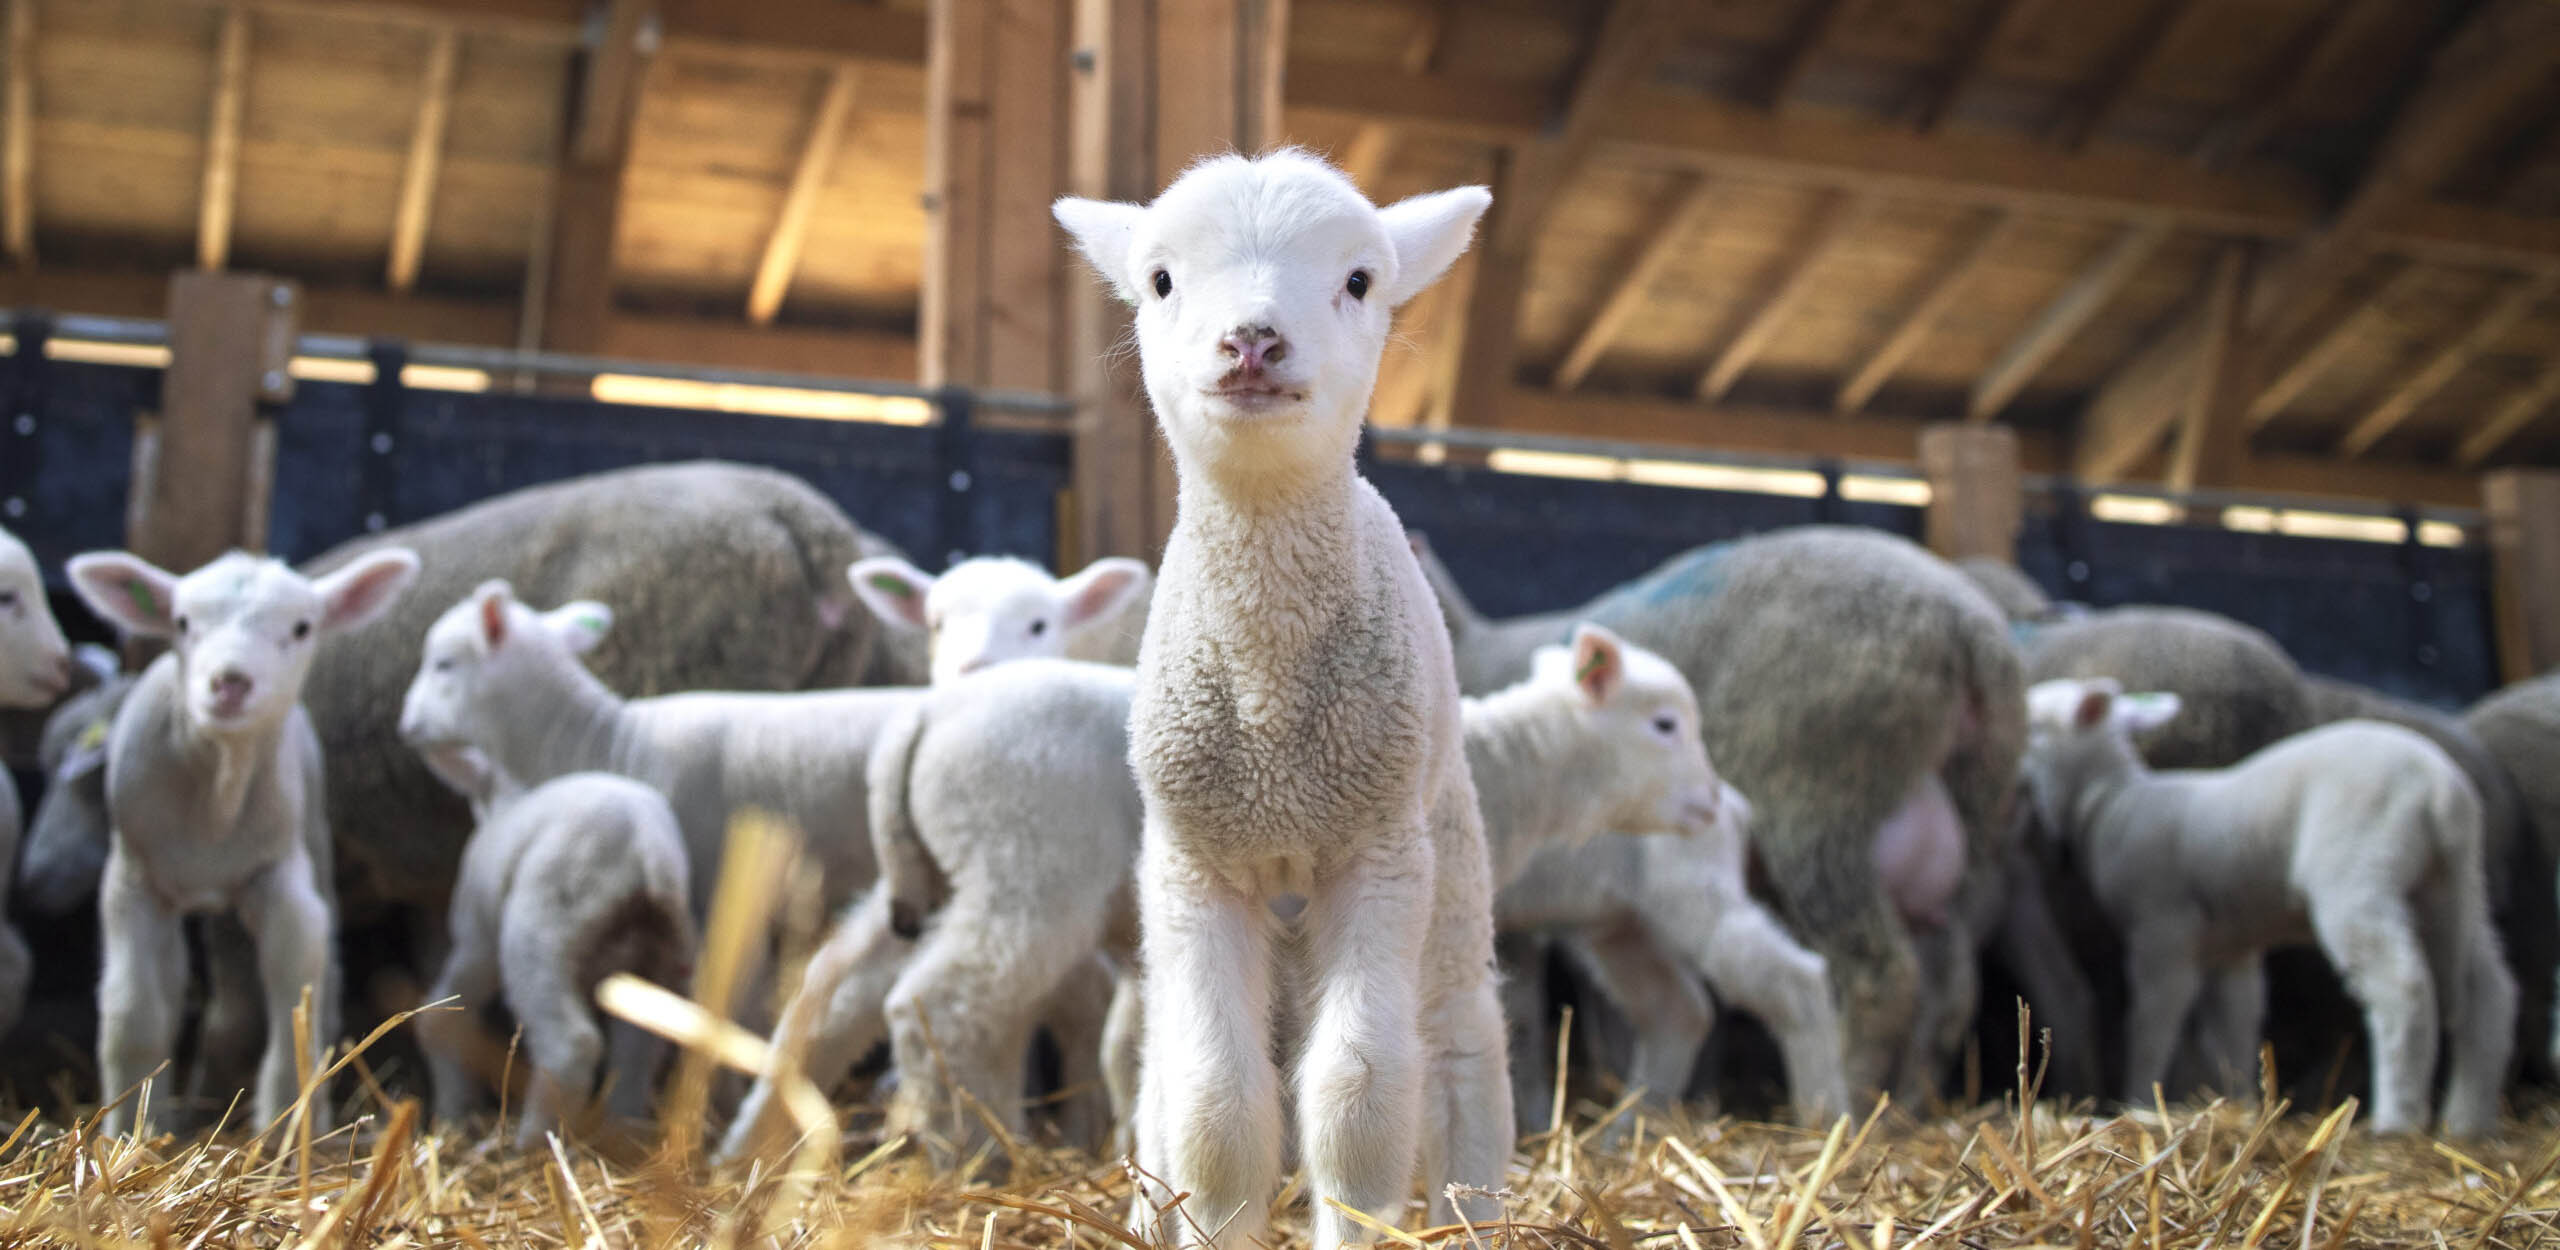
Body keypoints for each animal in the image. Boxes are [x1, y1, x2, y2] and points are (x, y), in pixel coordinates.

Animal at [66, 547, 420, 1137]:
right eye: (182, 623)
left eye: (302, 628)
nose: (230, 682)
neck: (217, 792)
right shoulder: (132, 881)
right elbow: (133, 1010)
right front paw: (133, 1130)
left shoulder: (281, 878)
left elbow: (295, 987)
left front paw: (287, 1123)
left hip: (313, 832)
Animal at [400, 731, 693, 1150]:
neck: (505, 799)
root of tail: (646, 848)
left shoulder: (476, 935)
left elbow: (442, 1016)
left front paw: (453, 1108)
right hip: (657, 957)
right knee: (638, 1049)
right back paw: (622, 1132)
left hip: (539, 930)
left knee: (571, 1045)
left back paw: (531, 1142)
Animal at [1054, 150, 1503, 1246]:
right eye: (1160, 280)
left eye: (1359, 280)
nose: (1252, 340)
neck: (1270, 717)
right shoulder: (1195, 866)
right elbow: (1216, 1105)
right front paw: (1208, 1219)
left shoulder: (1377, 852)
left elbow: (1359, 1095)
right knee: (1163, 1074)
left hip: (1446, 847)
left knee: (1458, 1042)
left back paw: (1479, 1211)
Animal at [1410, 526, 2031, 1104]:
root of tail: (1967, 627)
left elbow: (1524, 1012)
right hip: (1970, 826)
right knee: (1949, 991)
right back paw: (1909, 1104)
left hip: (1822, 810)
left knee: (1879, 978)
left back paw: (1849, 1101)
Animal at [2019, 677, 2514, 1136]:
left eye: (2034, 723)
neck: (2109, 801)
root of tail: (2440, 788)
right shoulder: (2228, 948)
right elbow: (2234, 1023)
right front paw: (2241, 1099)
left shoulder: (2162, 928)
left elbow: (2152, 1022)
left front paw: (2137, 1098)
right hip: (2452, 887)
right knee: (2488, 990)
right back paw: (2468, 1119)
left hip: (2358, 874)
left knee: (2403, 986)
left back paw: (2397, 1119)